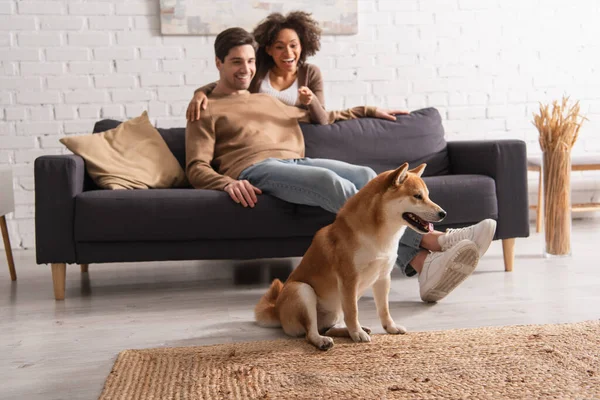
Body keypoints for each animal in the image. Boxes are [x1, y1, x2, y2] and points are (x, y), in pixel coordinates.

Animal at [255, 162, 448, 350]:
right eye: (417, 196)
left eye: (428, 196)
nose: (443, 213)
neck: (381, 236)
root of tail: (276, 311)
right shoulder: (349, 279)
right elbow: (353, 311)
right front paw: (357, 333)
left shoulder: (383, 277)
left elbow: (384, 309)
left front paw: (390, 328)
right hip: (302, 290)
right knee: (310, 333)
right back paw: (324, 340)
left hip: (333, 310)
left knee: (329, 327)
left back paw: (348, 331)